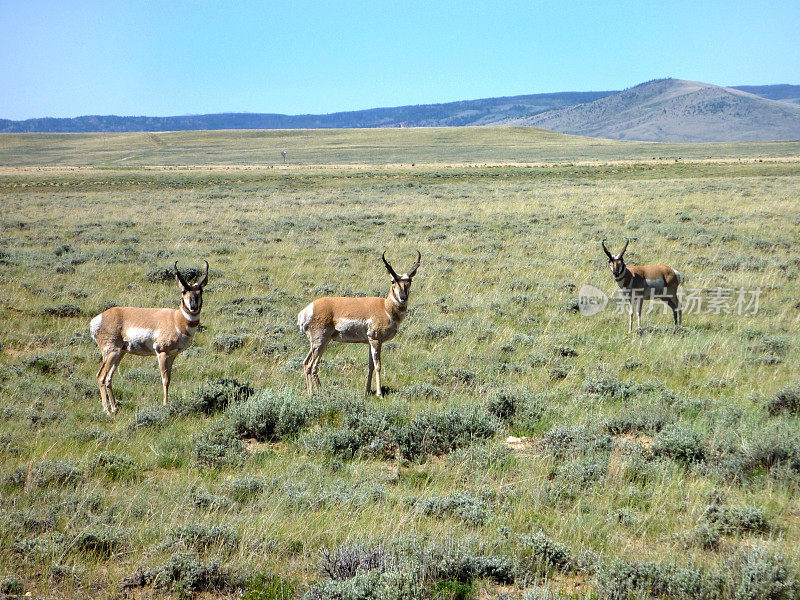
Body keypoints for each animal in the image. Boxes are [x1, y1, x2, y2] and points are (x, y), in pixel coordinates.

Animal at [89, 260, 208, 414]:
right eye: (183, 291)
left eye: (201, 291)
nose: (193, 307)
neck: (176, 319)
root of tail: (99, 318)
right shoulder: (162, 353)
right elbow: (164, 379)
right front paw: (165, 404)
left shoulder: (172, 355)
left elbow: (169, 379)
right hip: (111, 352)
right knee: (101, 376)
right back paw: (107, 411)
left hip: (120, 353)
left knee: (109, 377)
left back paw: (114, 408)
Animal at [298, 251, 422, 396]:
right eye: (393, 281)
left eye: (409, 281)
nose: (403, 297)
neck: (385, 307)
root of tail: (308, 309)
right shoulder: (376, 340)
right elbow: (378, 366)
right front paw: (379, 394)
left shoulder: (370, 343)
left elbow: (371, 366)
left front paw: (367, 391)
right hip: (319, 342)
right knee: (310, 365)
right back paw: (312, 393)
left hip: (322, 342)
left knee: (309, 364)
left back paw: (320, 391)